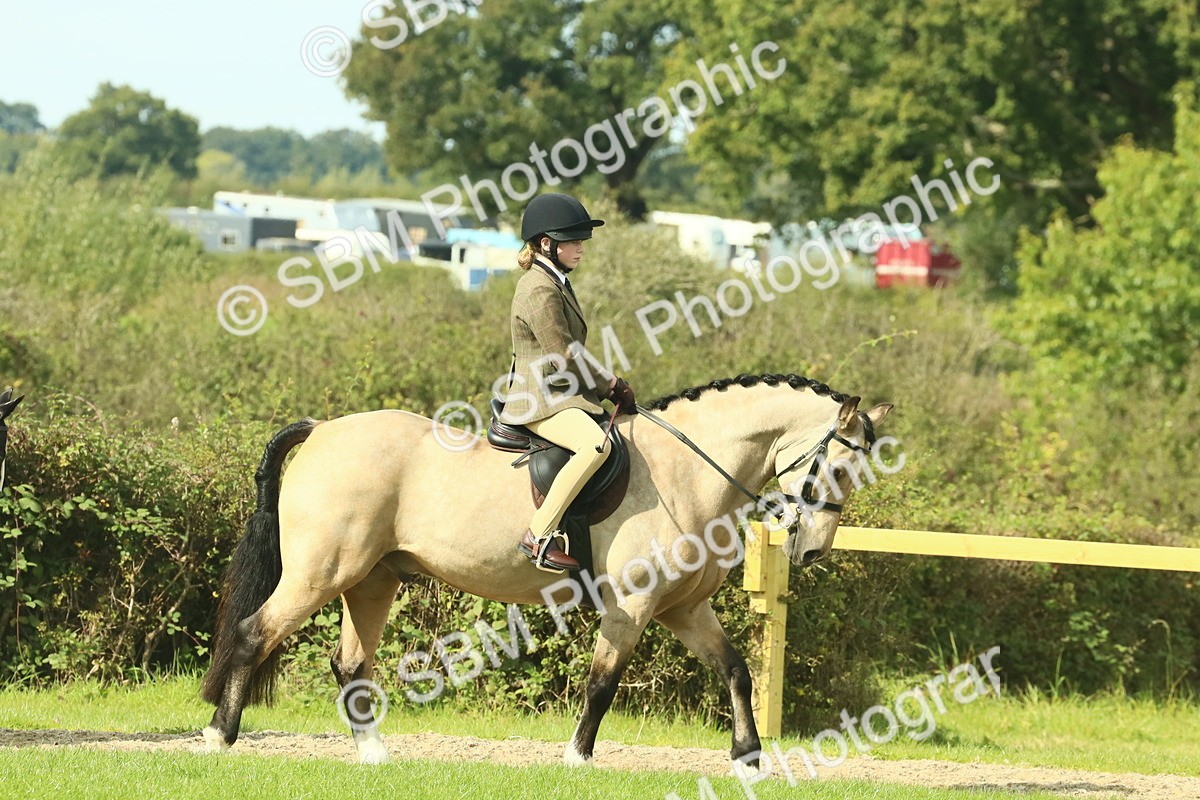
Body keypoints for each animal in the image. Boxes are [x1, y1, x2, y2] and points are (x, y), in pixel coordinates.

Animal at [200, 372, 893, 767]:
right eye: (837, 467)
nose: (812, 551)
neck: (688, 469)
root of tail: (322, 430)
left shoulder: (682, 609)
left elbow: (735, 669)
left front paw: (747, 757)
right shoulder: (633, 606)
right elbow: (602, 683)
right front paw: (576, 759)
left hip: (373, 579)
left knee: (349, 663)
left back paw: (374, 756)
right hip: (321, 573)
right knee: (254, 634)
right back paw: (219, 738)